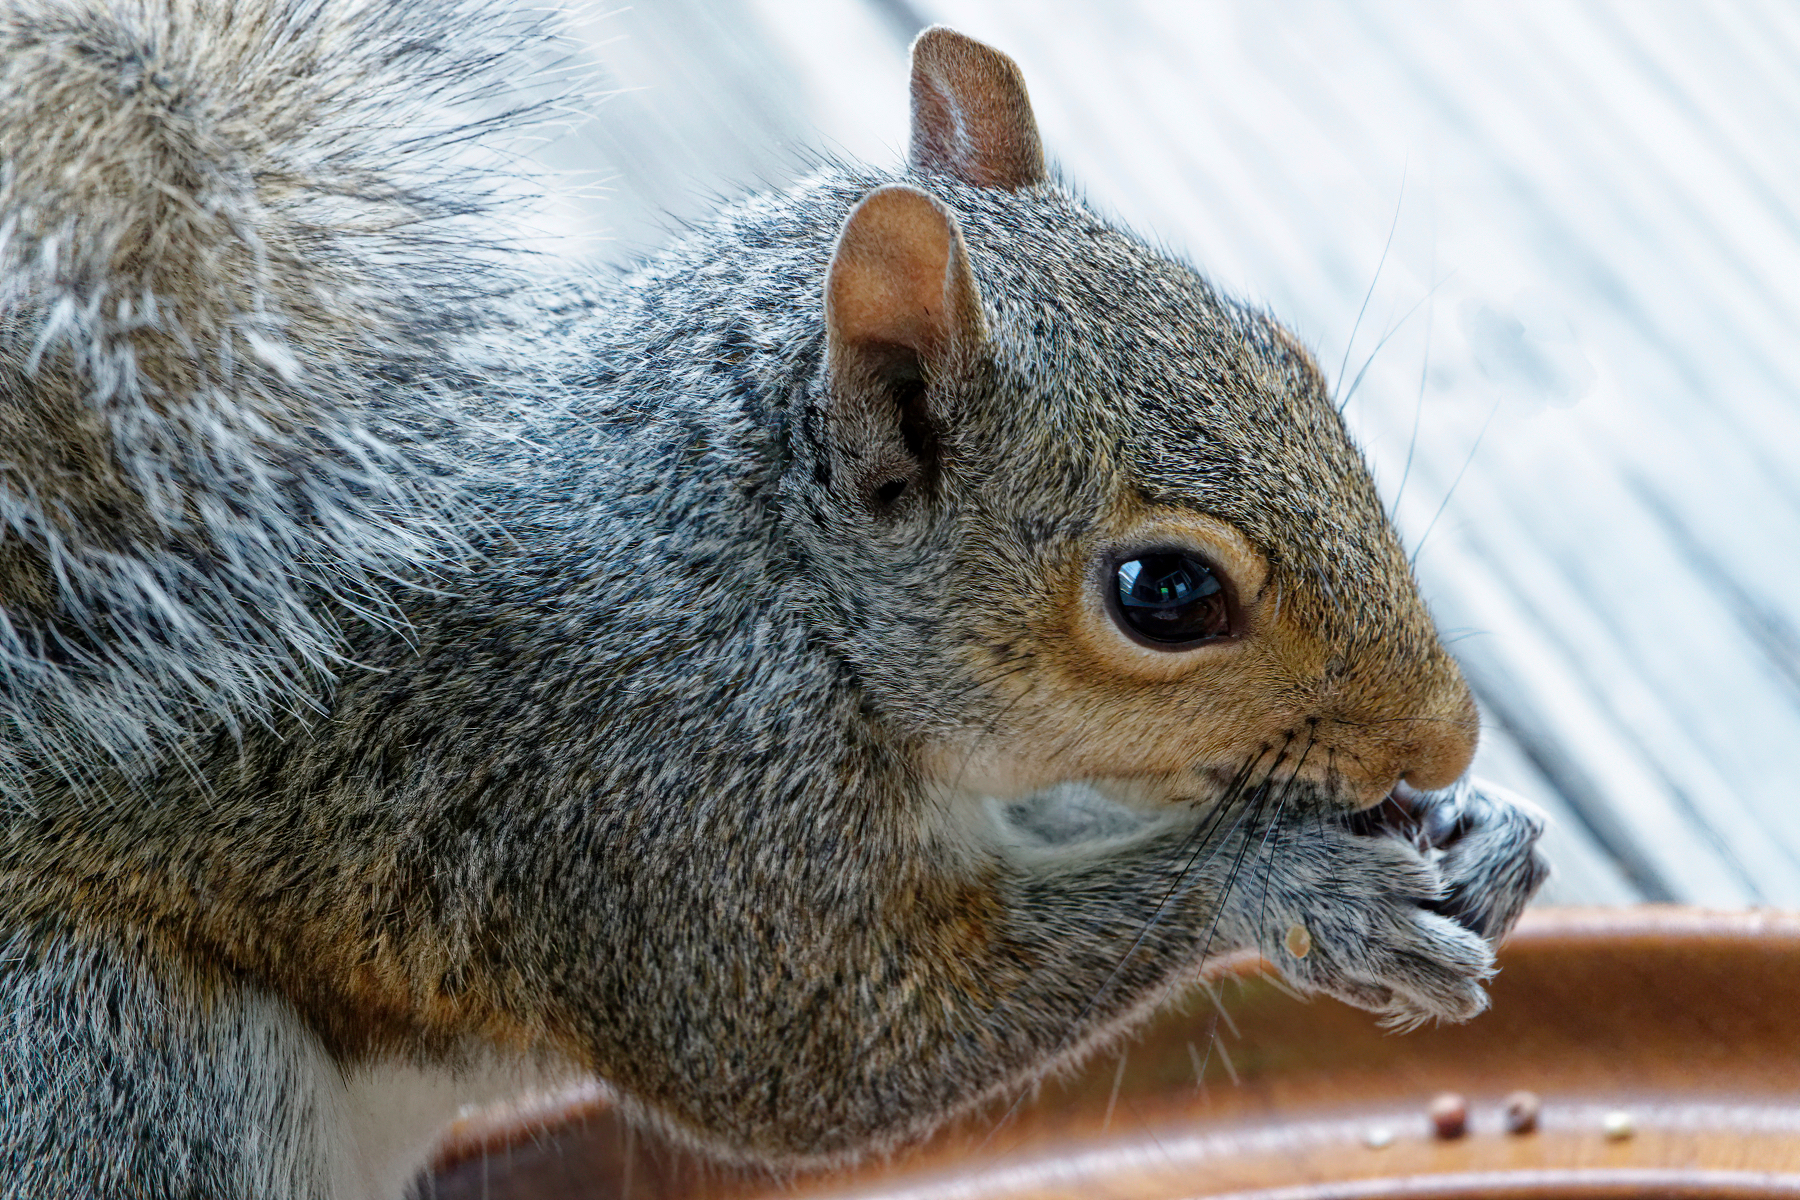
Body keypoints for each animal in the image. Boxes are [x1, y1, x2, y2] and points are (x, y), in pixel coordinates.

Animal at [0, 2, 1548, 1200]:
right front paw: (1299, 883)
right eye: (1165, 593)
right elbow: (818, 1063)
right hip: (115, 1057)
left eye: (1285, 353)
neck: (768, 570)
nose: (1448, 737)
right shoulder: (664, 796)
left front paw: (1476, 835)